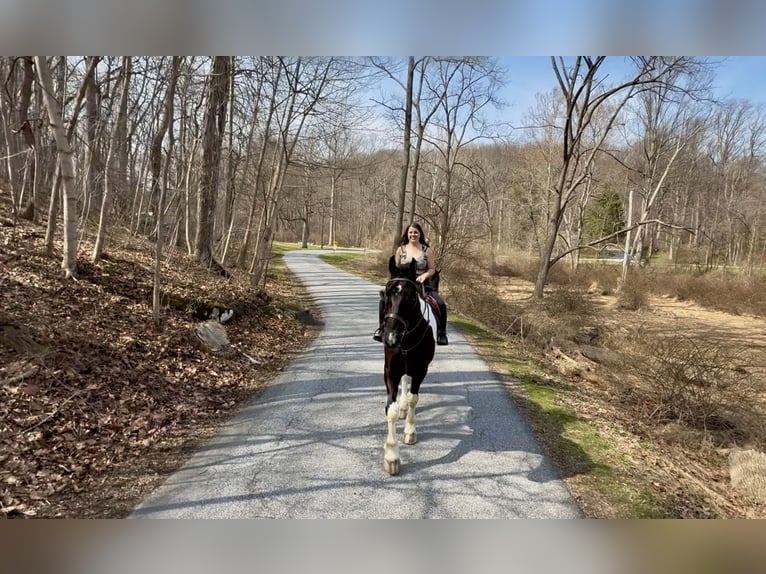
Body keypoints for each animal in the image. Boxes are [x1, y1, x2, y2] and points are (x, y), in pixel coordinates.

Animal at [381, 255, 437, 475]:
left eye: (412, 297)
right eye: (387, 293)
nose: (390, 338)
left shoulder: (421, 370)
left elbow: (414, 398)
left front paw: (410, 432)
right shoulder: (390, 371)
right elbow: (391, 409)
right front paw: (391, 456)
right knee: (404, 379)